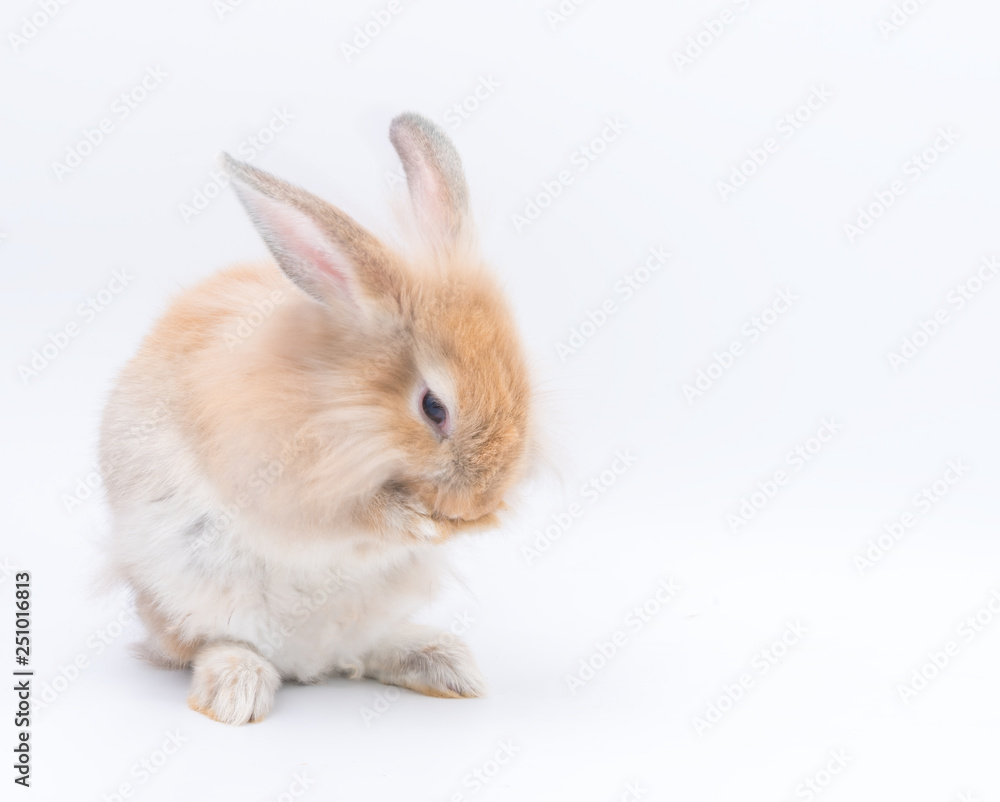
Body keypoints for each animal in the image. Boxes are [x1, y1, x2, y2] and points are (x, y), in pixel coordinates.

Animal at [100, 111, 536, 724]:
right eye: (433, 407)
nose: (479, 504)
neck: (343, 405)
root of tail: (301, 663)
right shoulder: (285, 487)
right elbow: (353, 521)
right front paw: (419, 523)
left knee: (361, 650)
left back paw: (446, 666)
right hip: (184, 590)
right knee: (210, 644)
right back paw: (236, 692)